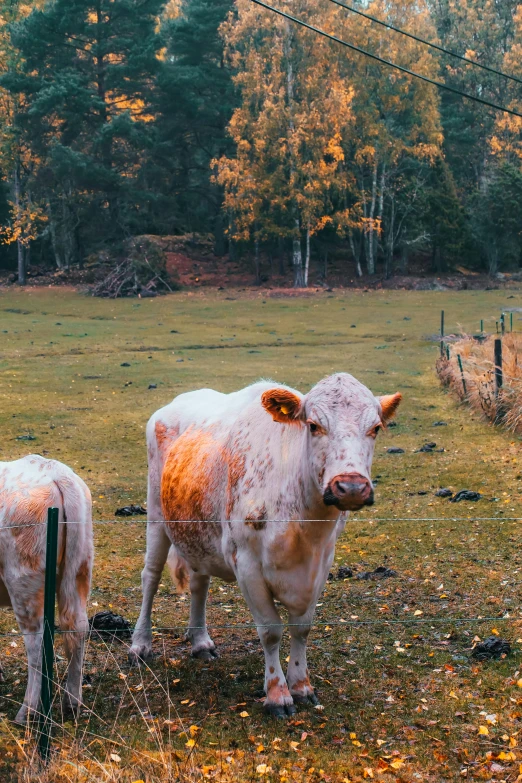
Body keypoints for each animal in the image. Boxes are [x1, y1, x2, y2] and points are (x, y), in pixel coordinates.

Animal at [0, 456, 92, 724]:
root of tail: (54, 469)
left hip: (22, 582)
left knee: (37, 642)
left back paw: (27, 711)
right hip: (80, 569)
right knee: (78, 628)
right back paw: (72, 702)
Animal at [129, 374, 398, 716]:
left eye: (375, 428)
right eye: (313, 425)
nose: (351, 487)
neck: (304, 526)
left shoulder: (321, 563)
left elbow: (302, 627)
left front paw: (302, 685)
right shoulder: (247, 564)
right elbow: (271, 631)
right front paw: (277, 693)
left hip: (199, 532)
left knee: (199, 584)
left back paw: (200, 641)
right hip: (156, 516)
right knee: (150, 578)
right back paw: (140, 644)